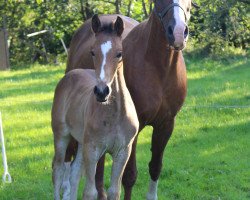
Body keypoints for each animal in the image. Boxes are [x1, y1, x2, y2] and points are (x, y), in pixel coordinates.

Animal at [51, 14, 139, 200]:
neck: (115, 115)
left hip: (81, 141)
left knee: (75, 172)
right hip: (62, 135)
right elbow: (90, 192)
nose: (101, 91)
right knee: (58, 169)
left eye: (119, 53)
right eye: (92, 52)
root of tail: (71, 73)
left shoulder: (122, 152)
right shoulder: (93, 150)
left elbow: (114, 191)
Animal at [66, 0, 195, 199]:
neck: (159, 69)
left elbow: (155, 167)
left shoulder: (166, 125)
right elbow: (129, 176)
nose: (178, 32)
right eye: (159, 2)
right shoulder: (134, 129)